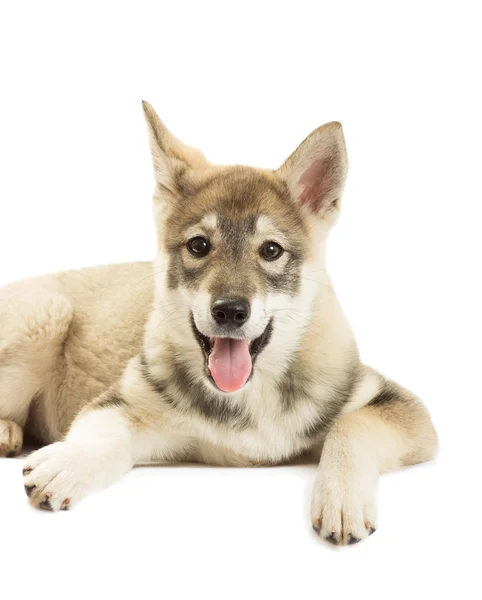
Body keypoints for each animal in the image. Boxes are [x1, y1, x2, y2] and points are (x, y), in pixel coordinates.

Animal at [0, 102, 436, 544]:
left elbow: (352, 427)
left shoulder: (402, 409)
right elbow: (103, 436)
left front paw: (341, 499)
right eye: (198, 245)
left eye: (271, 250)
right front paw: (69, 461)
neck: (249, 394)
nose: (230, 311)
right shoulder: (127, 405)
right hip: (48, 312)